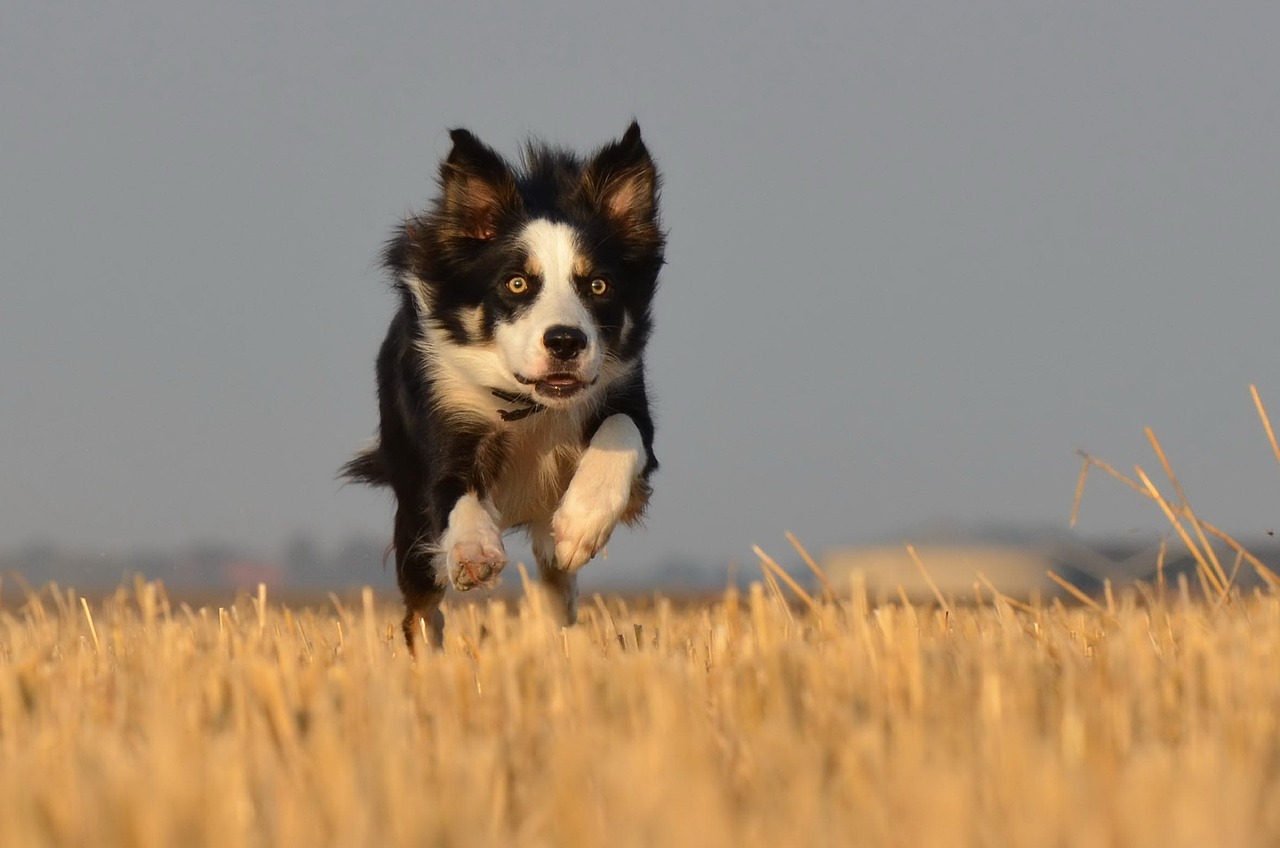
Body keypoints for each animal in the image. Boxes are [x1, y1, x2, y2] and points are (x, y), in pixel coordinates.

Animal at [343, 122, 660, 653]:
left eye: (598, 286)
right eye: (516, 283)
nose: (566, 341)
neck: (530, 404)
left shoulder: (624, 394)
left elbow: (622, 430)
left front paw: (581, 524)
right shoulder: (445, 415)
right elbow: (455, 489)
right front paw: (474, 551)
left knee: (556, 583)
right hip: (410, 520)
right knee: (421, 609)